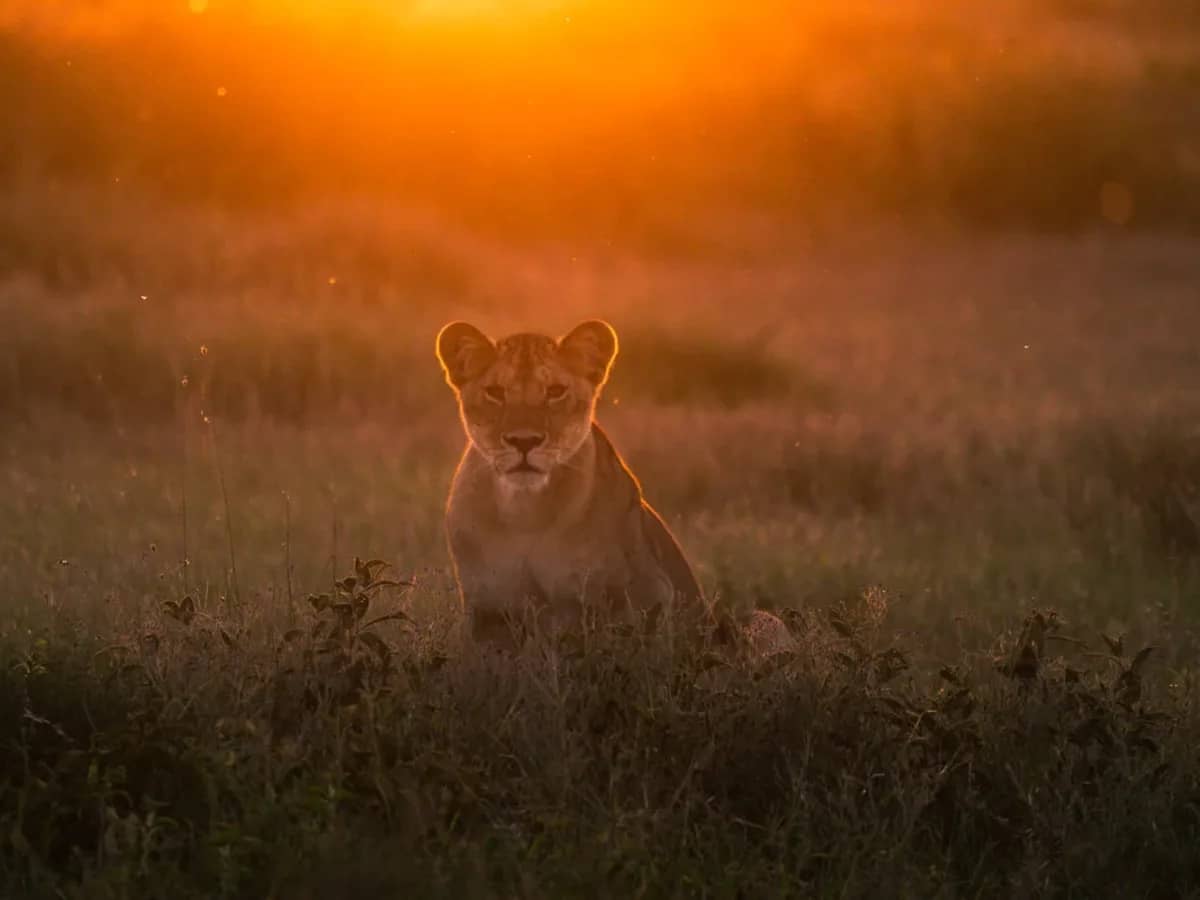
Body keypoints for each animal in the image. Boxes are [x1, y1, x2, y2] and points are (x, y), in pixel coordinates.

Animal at [435, 319, 709, 646]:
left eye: (555, 391)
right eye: (495, 392)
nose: (524, 441)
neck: (525, 512)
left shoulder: (646, 594)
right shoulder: (486, 609)